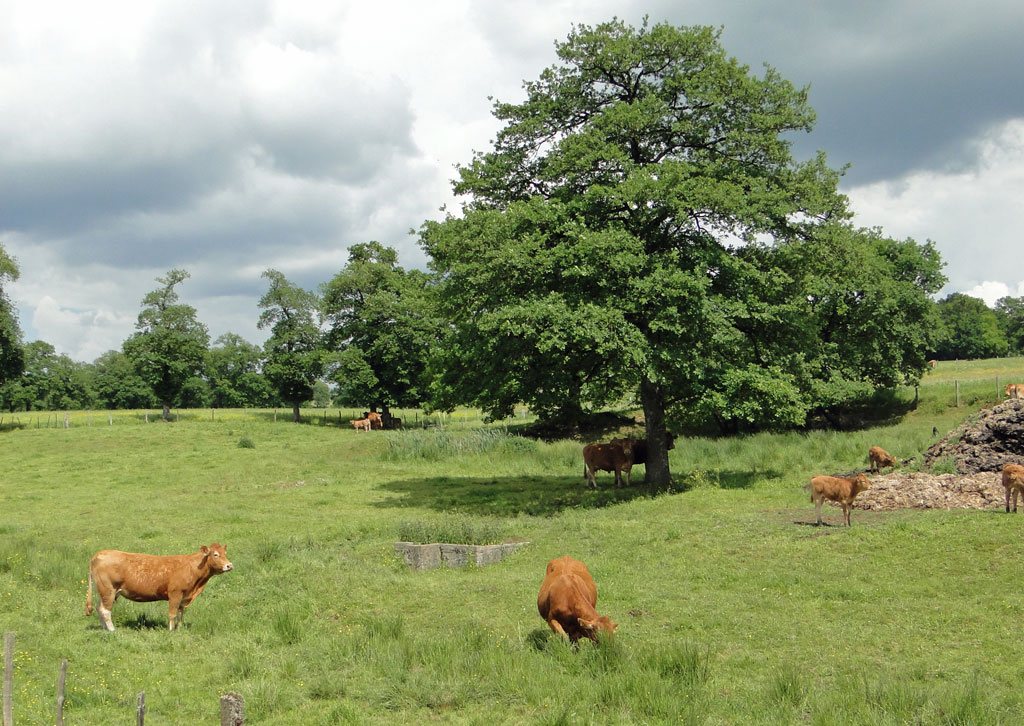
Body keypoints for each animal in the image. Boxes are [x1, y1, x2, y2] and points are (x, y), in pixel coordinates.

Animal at [84, 540, 233, 630]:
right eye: (215, 554)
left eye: (225, 553)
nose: (229, 565)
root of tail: (101, 553)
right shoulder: (175, 594)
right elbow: (172, 614)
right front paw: (171, 630)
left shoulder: (184, 595)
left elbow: (180, 613)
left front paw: (179, 628)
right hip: (108, 590)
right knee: (106, 610)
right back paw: (112, 630)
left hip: (104, 592)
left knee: (99, 608)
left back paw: (104, 628)